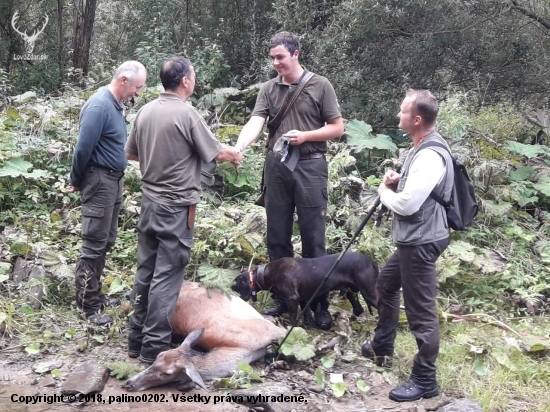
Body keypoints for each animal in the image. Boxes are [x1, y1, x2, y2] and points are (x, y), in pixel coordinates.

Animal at [233, 253, 380, 326]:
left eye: (237, 286)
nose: (231, 288)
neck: (266, 273)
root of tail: (371, 261)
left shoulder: (292, 298)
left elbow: (293, 317)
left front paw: (290, 328)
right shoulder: (303, 299)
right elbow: (306, 314)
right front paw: (306, 325)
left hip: (368, 292)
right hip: (351, 291)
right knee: (358, 308)